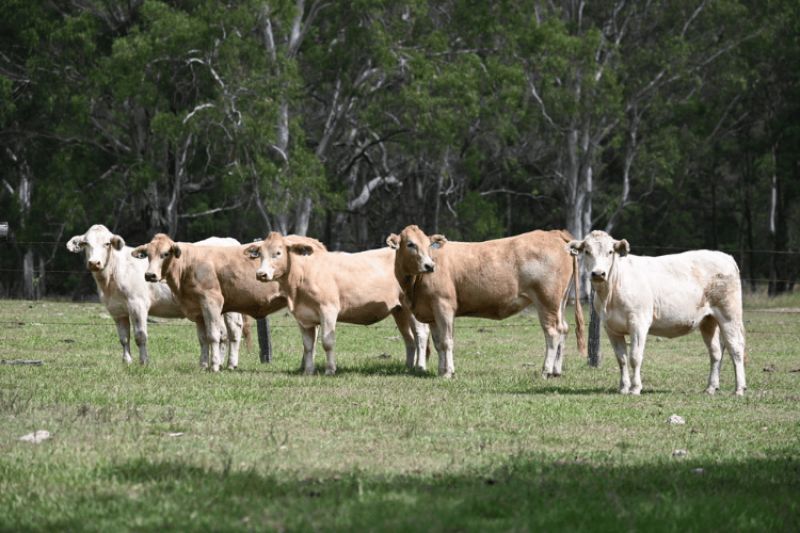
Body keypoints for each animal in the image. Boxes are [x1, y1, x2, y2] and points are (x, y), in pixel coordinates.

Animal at [66, 224, 246, 366]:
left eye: (107, 243)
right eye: (85, 243)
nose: (94, 263)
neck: (111, 278)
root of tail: (229, 241)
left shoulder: (137, 304)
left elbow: (140, 336)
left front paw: (143, 362)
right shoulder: (117, 310)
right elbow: (124, 338)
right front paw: (127, 362)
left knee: (232, 332)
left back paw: (229, 363)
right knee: (224, 333)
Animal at [131, 233, 286, 372]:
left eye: (165, 254)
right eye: (148, 255)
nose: (150, 275)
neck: (187, 265)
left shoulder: (211, 302)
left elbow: (213, 335)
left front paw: (215, 365)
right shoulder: (197, 311)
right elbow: (203, 338)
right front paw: (203, 365)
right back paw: (231, 364)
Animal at [250, 232, 429, 376]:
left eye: (278, 253)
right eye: (260, 254)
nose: (260, 274)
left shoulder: (328, 310)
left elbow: (327, 342)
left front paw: (330, 370)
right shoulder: (303, 317)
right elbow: (308, 346)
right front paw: (308, 371)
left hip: (411, 310)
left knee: (421, 335)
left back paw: (420, 367)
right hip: (399, 311)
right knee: (409, 338)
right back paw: (409, 367)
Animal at [386, 225, 586, 379]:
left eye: (428, 244)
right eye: (410, 244)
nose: (429, 266)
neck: (413, 285)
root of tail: (554, 233)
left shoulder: (444, 305)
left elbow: (447, 341)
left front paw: (448, 372)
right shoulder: (431, 313)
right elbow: (438, 344)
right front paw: (442, 371)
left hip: (547, 300)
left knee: (552, 333)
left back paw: (546, 371)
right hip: (560, 302)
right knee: (563, 329)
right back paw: (556, 371)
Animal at [567, 230, 747, 396]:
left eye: (610, 252)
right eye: (587, 251)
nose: (598, 273)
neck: (609, 294)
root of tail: (726, 257)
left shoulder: (639, 323)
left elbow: (635, 357)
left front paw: (635, 388)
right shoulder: (610, 327)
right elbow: (621, 359)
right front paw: (623, 388)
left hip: (729, 315)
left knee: (736, 348)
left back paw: (739, 389)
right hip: (708, 320)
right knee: (715, 352)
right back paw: (711, 387)